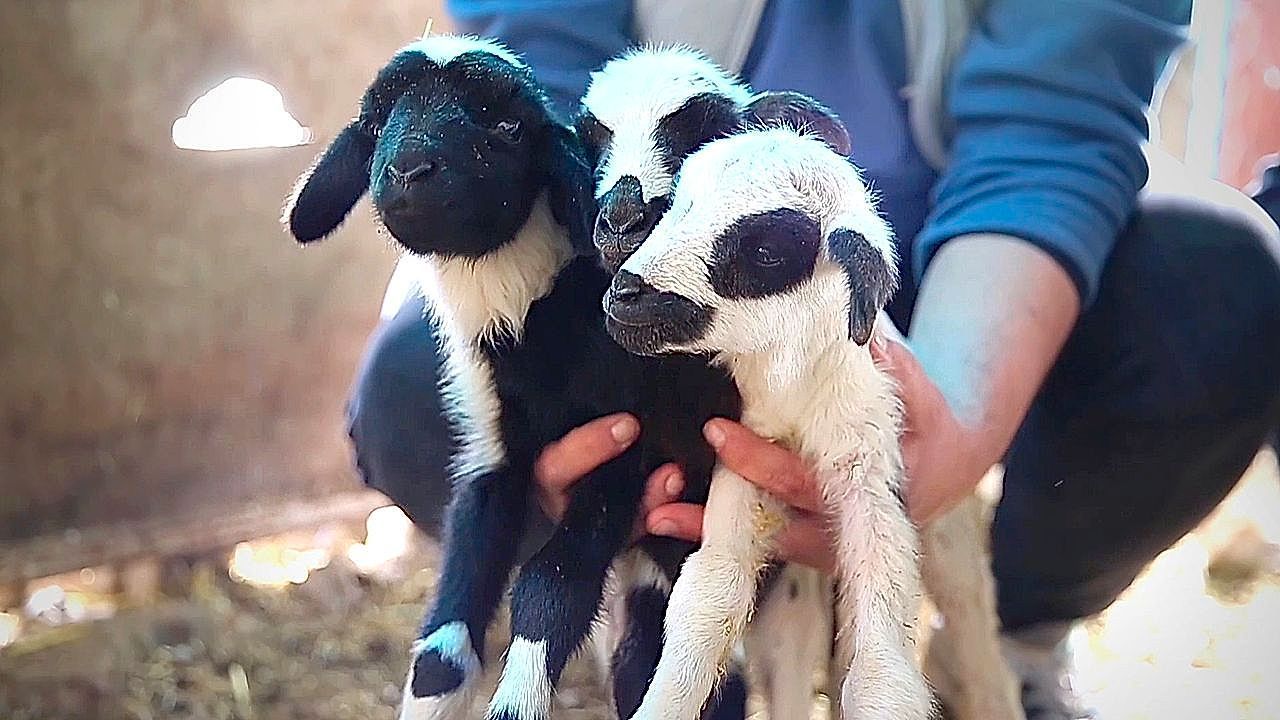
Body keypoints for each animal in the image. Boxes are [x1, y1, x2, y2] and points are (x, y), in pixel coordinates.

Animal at [282, 35, 748, 720]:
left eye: (506, 127)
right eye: (378, 121)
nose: (409, 171)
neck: (536, 329)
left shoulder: (622, 445)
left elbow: (551, 586)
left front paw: (515, 703)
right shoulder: (494, 456)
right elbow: (441, 648)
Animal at [601, 121, 928, 720]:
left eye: (766, 252)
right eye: (678, 202)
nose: (626, 292)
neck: (791, 392)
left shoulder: (868, 460)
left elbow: (881, 669)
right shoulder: (743, 449)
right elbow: (710, 593)